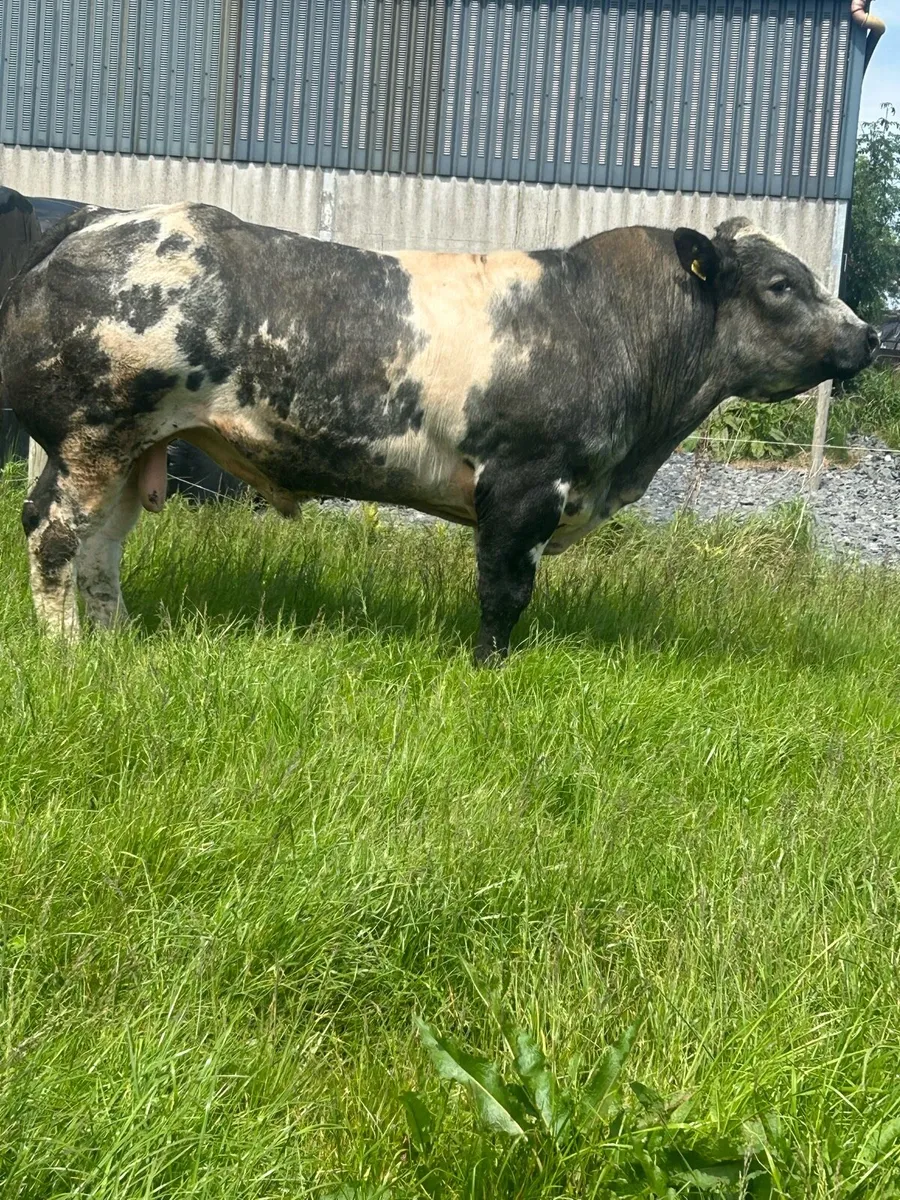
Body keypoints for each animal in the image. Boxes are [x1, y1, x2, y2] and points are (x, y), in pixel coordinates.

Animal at [0, 201, 878, 661]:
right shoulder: (524, 483)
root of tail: (99, 220)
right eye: (781, 283)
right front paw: (491, 666)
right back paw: (69, 652)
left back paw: (115, 640)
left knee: (102, 545)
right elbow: (505, 589)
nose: (869, 335)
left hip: (132, 446)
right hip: (92, 433)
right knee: (54, 533)